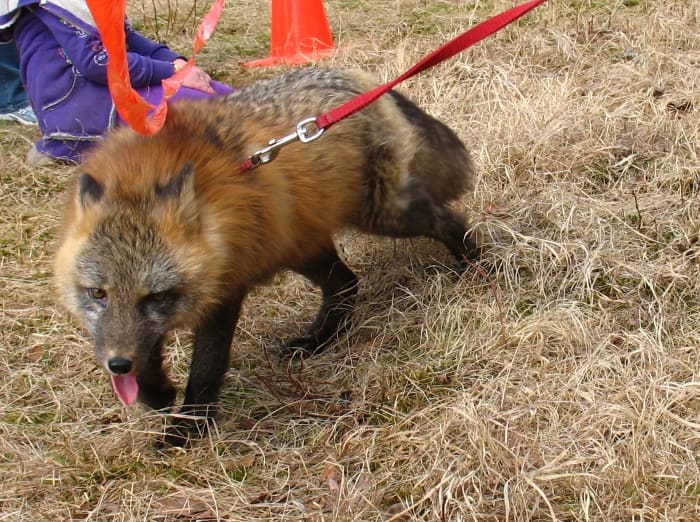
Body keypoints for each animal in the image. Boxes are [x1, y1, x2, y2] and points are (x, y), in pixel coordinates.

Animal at [56, 67, 482, 444]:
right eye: (98, 294)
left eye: (156, 296)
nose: (117, 365)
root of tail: (356, 78)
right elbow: (145, 364)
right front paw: (157, 395)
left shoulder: (223, 290)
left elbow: (206, 368)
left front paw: (190, 428)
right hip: (301, 245)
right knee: (346, 285)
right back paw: (317, 340)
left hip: (384, 216)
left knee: (449, 220)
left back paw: (474, 265)